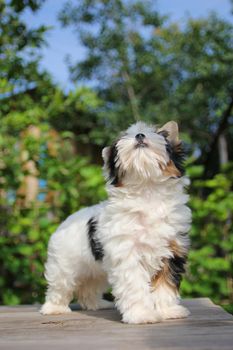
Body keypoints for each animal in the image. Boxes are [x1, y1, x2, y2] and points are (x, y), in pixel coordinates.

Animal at [41, 121, 192, 324]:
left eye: (157, 134)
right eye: (123, 138)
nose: (139, 135)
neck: (147, 190)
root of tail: (67, 220)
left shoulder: (172, 250)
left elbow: (165, 284)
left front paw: (167, 310)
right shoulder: (127, 253)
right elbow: (134, 285)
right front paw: (141, 314)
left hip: (96, 267)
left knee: (91, 285)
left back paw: (96, 303)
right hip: (64, 263)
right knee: (60, 284)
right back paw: (54, 307)